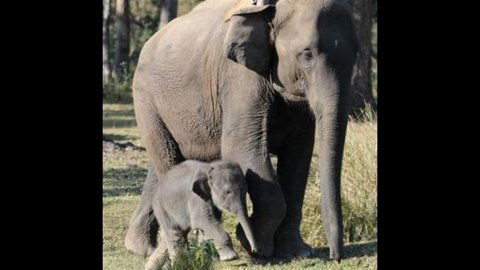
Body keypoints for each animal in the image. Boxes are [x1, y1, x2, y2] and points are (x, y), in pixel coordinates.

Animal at [125, 0, 358, 262]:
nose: (336, 257)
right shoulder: (239, 77)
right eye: (307, 54)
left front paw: (297, 251)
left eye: (356, 55)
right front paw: (254, 246)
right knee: (167, 159)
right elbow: (241, 147)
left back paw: (141, 248)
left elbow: (298, 158)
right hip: (146, 100)